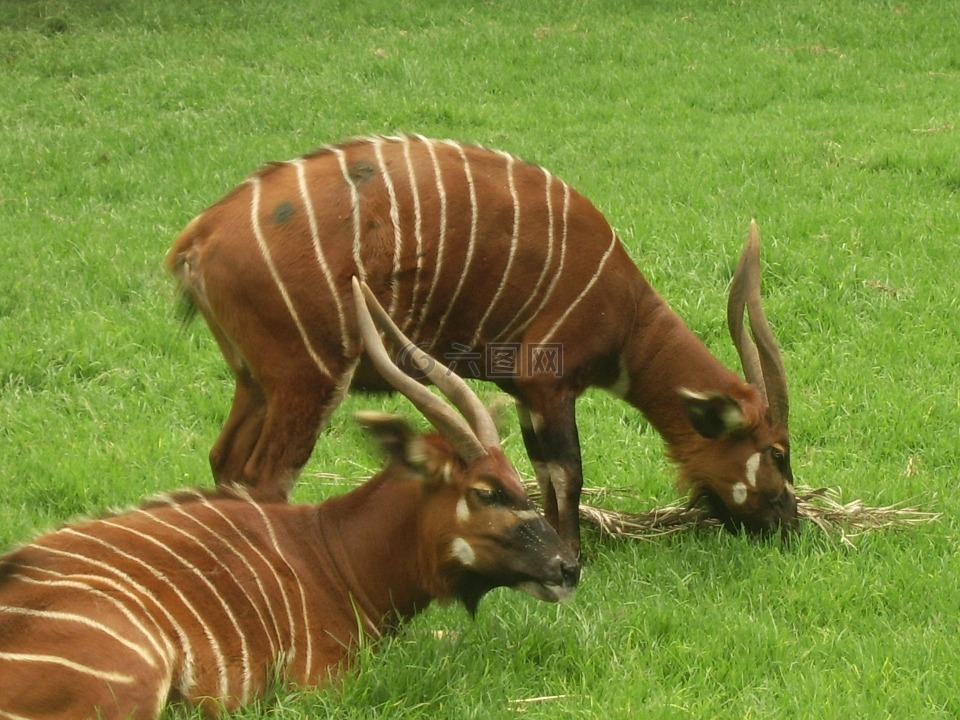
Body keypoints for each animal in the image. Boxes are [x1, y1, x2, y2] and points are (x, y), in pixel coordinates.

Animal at [167, 135, 796, 556]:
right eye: (778, 452)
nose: (791, 523)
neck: (627, 314)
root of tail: (199, 238)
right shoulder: (550, 384)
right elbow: (567, 472)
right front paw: (572, 556)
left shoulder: (524, 395)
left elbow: (543, 472)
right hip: (310, 378)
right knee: (266, 477)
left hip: (255, 382)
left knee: (226, 463)